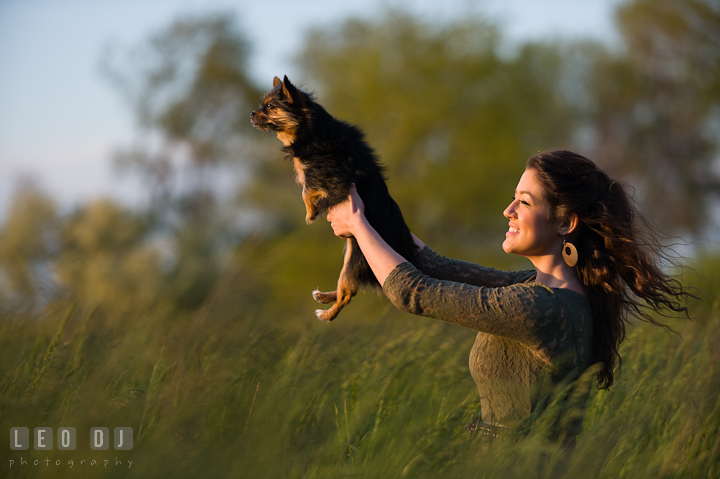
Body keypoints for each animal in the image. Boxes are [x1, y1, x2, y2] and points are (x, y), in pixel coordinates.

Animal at [249, 75, 416, 322]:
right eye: (262, 105)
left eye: (269, 107)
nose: (251, 113)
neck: (310, 129)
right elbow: (306, 188)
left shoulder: (332, 176)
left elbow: (306, 189)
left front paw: (311, 213)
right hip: (351, 255)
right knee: (345, 287)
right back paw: (324, 296)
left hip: (356, 259)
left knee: (347, 293)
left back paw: (327, 315)